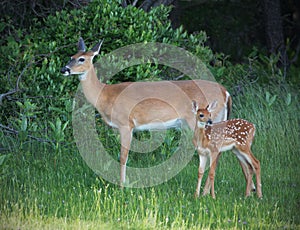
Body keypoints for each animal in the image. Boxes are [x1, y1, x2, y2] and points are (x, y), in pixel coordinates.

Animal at [59, 37, 250, 188]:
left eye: (81, 59)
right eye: (71, 57)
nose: (64, 69)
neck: (105, 95)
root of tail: (225, 92)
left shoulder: (126, 124)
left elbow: (123, 157)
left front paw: (122, 186)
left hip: (207, 120)